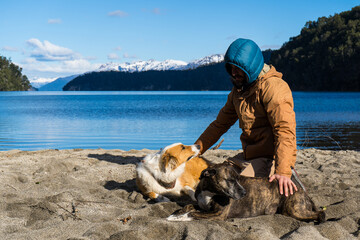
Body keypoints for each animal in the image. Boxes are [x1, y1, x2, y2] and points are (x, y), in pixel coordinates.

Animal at [167, 162, 324, 222]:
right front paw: (175, 213)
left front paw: (178, 218)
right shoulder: (202, 206)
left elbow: (192, 214)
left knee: (320, 213)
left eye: (238, 179)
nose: (244, 193)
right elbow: (188, 207)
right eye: (230, 180)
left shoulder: (218, 214)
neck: (210, 192)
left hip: (294, 210)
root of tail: (302, 191)